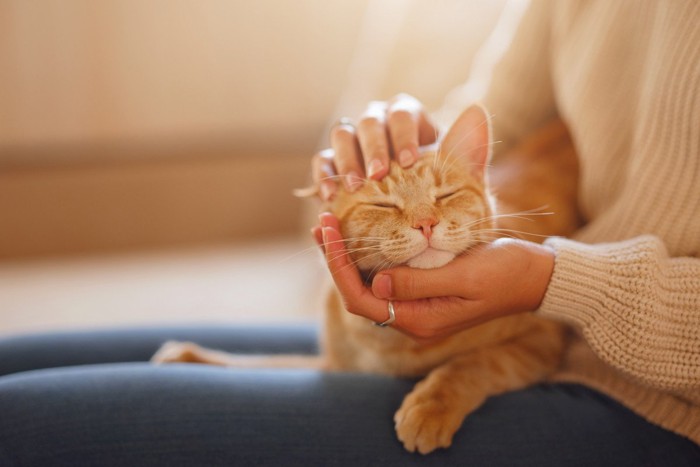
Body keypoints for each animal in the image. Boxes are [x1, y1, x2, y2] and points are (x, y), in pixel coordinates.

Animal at [152, 106, 576, 458]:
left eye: (446, 194)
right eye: (383, 205)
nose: (426, 223)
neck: (392, 346)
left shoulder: (542, 338)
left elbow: (474, 363)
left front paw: (431, 407)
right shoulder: (334, 365)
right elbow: (264, 363)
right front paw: (192, 357)